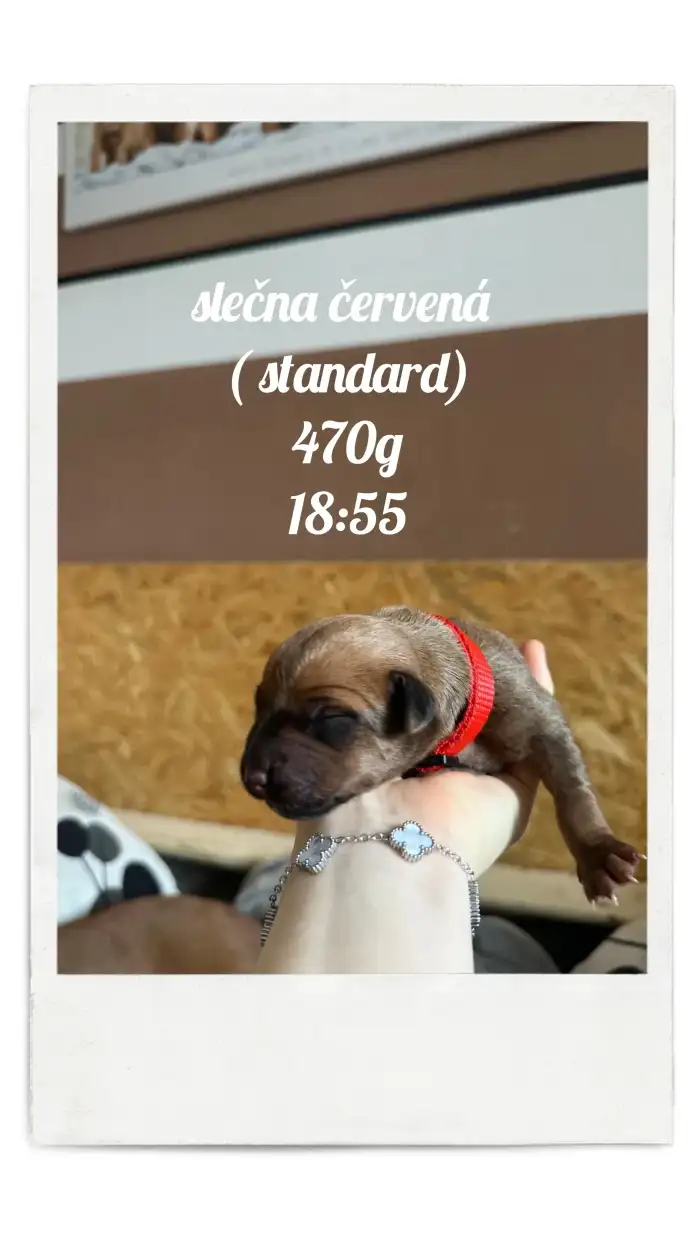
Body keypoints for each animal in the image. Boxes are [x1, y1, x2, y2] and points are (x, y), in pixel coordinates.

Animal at [240, 607, 643, 903]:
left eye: (331, 718)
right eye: (258, 707)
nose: (252, 779)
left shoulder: (542, 720)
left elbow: (572, 792)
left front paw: (597, 853)